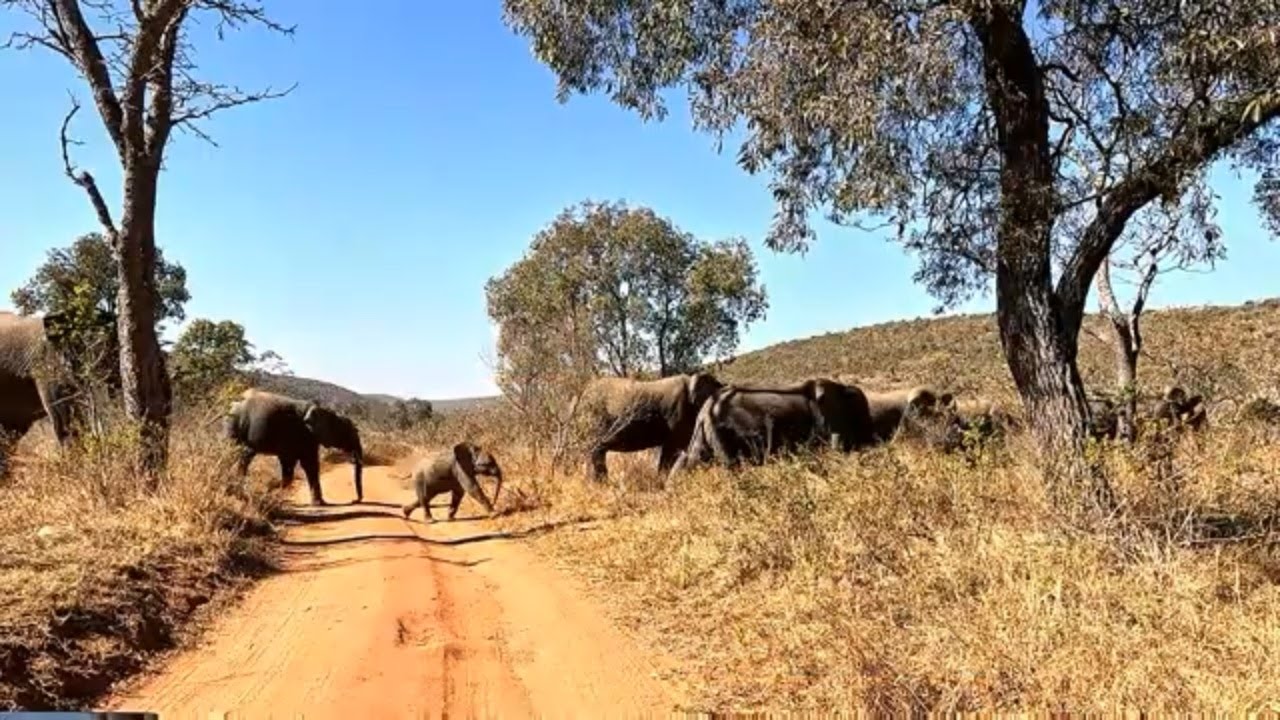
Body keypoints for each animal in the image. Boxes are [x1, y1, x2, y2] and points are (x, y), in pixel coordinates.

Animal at [223, 388, 364, 505]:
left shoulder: (307, 438)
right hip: (234, 423)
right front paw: (275, 493)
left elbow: (305, 466)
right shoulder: (300, 434)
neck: (324, 410)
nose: (354, 500)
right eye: (348, 432)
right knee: (241, 454)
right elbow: (304, 464)